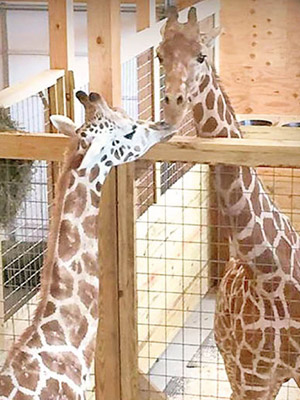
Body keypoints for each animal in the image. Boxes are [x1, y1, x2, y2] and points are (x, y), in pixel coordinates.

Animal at [158, 7, 300, 400]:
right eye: (159, 56)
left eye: (202, 55)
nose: (173, 105)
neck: (268, 277)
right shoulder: (252, 377)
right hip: (236, 369)